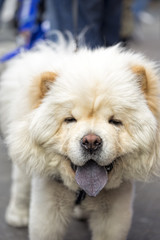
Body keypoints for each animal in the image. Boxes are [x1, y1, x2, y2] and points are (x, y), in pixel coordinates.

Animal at [0, 41, 160, 240]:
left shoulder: (113, 212)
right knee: (20, 185)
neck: (84, 190)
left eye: (115, 121)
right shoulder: (48, 206)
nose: (91, 141)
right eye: (70, 119)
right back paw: (17, 215)